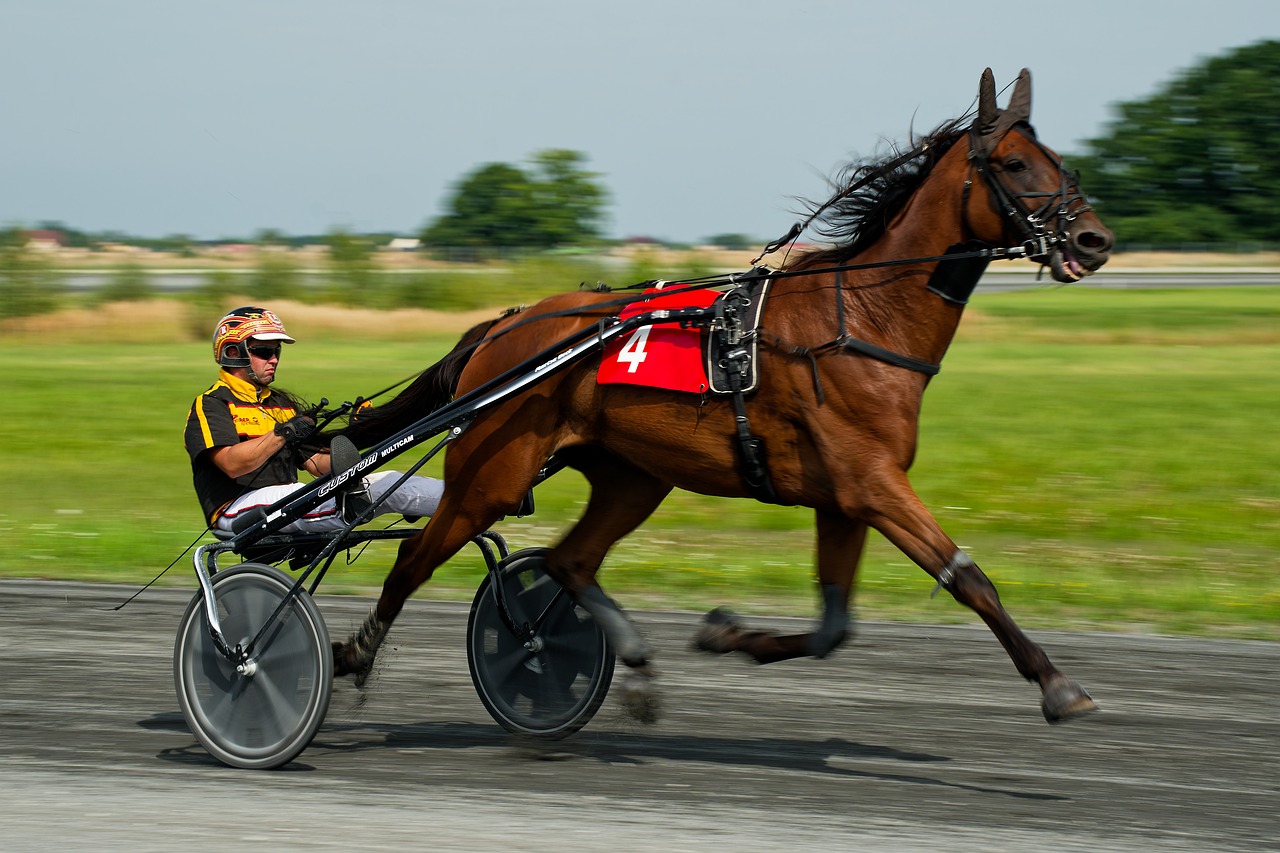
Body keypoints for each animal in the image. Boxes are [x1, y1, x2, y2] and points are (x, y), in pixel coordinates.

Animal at [332, 67, 1114, 724]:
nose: (1093, 238)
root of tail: (507, 323)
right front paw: (1057, 685)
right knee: (415, 558)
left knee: (567, 561)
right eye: (1014, 164)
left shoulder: (844, 497)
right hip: (490, 474)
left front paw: (726, 632)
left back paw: (628, 665)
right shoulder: (873, 483)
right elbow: (967, 576)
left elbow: (834, 627)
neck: (860, 321)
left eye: (1061, 162)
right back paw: (351, 654)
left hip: (634, 476)